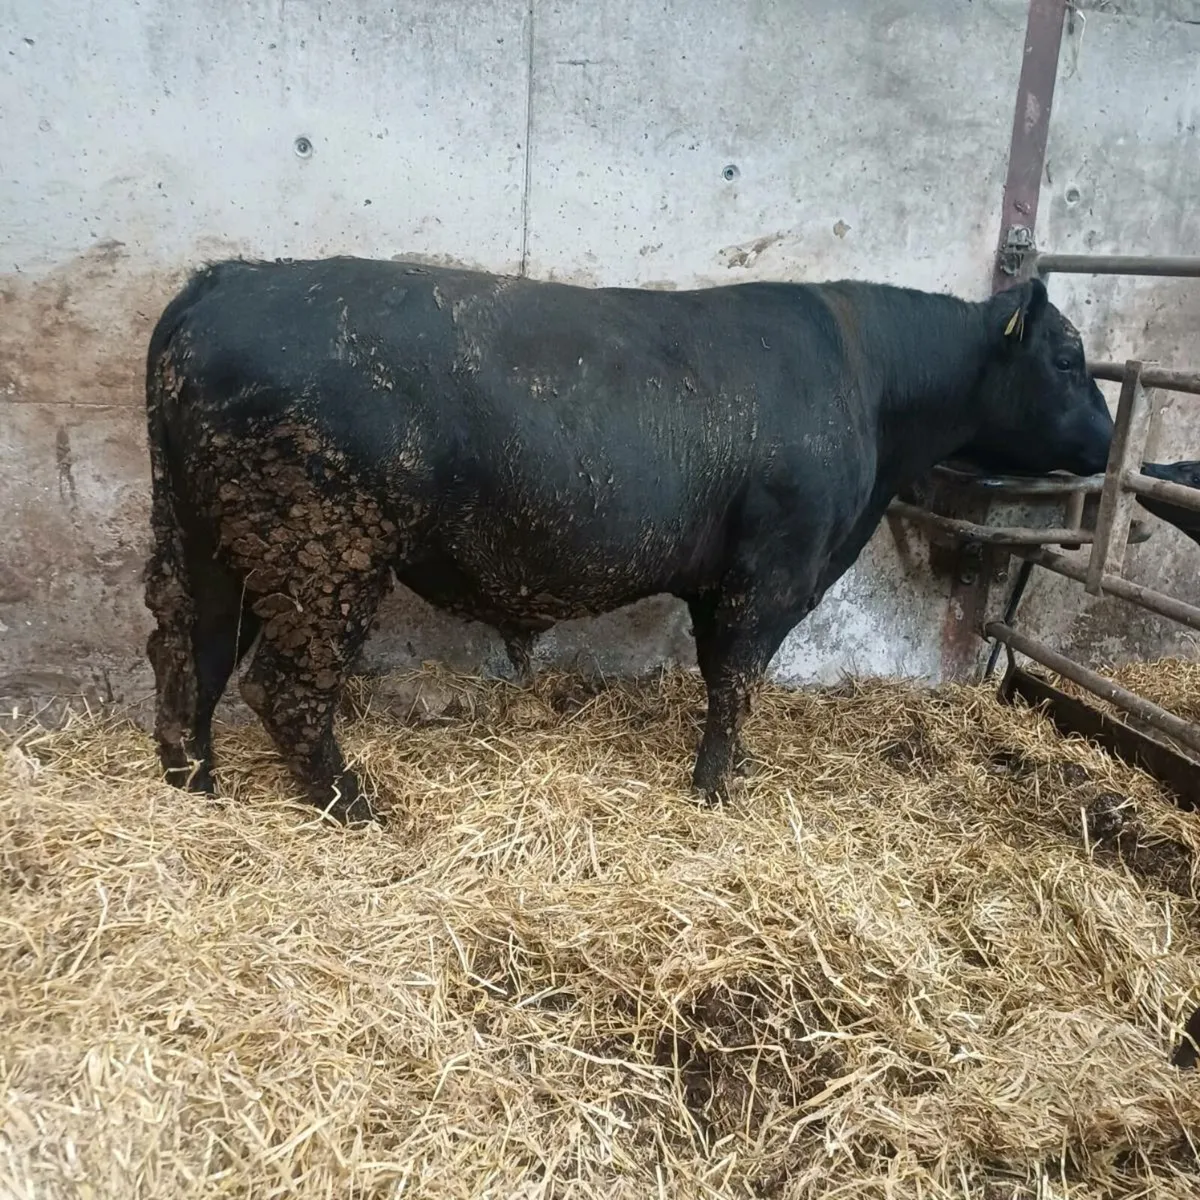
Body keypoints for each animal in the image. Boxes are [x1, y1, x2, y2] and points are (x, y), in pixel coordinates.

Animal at [142, 256, 1114, 825]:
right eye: (1068, 359)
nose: (1111, 444)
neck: (868, 381)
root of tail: (217, 281)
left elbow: (723, 676)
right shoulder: (774, 569)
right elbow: (737, 682)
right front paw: (717, 792)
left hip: (209, 540)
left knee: (192, 655)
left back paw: (195, 784)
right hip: (322, 550)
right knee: (284, 689)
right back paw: (356, 810)